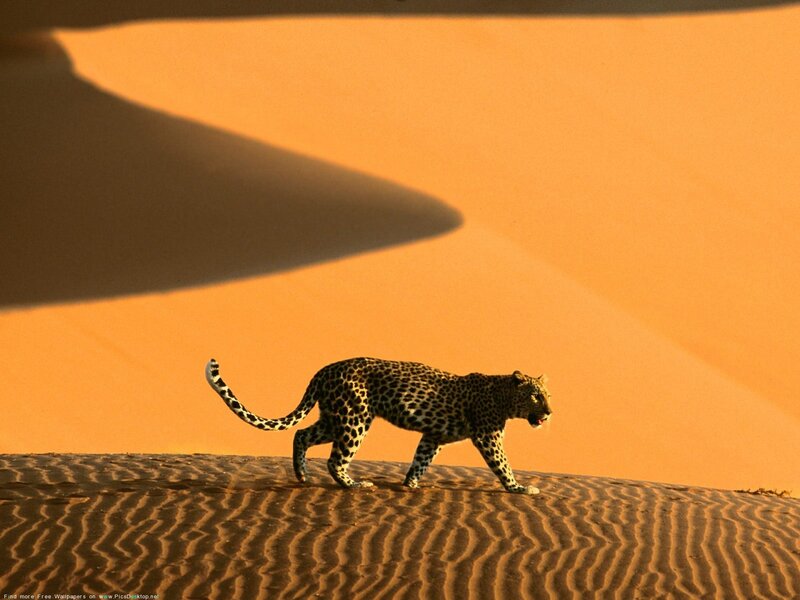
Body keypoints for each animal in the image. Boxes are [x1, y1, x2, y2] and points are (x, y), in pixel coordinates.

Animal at [205, 357, 552, 494]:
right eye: (536, 396)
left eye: (548, 395)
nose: (549, 413)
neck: (504, 397)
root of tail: (323, 370)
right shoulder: (488, 436)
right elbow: (503, 464)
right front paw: (520, 488)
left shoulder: (434, 435)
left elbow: (421, 459)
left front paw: (411, 484)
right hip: (354, 420)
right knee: (335, 459)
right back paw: (355, 485)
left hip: (334, 418)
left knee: (301, 435)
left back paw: (302, 476)